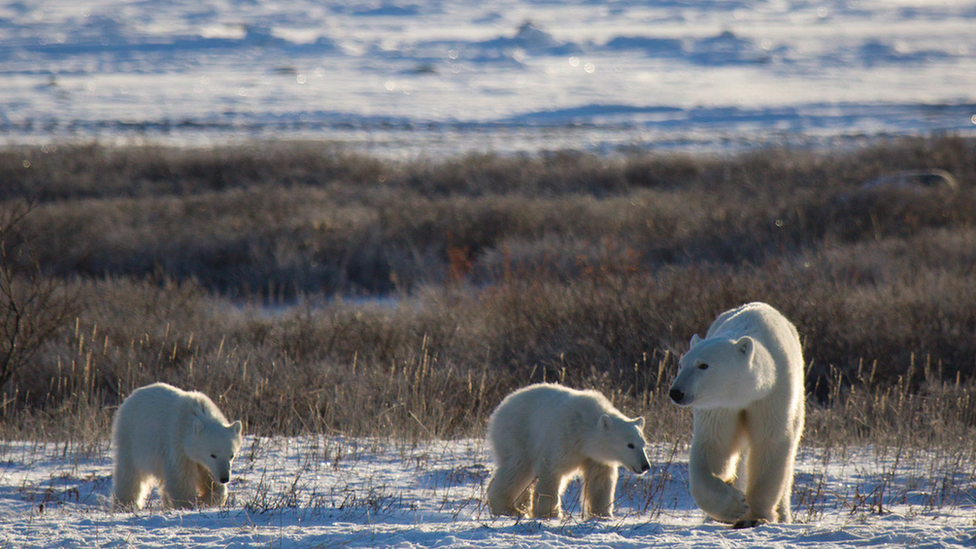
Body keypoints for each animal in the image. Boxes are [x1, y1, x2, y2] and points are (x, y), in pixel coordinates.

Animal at [668, 302, 804, 528]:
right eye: (681, 364)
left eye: (703, 365)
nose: (676, 392)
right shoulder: (720, 406)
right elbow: (714, 445)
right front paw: (733, 505)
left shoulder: (773, 394)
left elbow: (770, 443)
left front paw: (756, 516)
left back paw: (784, 516)